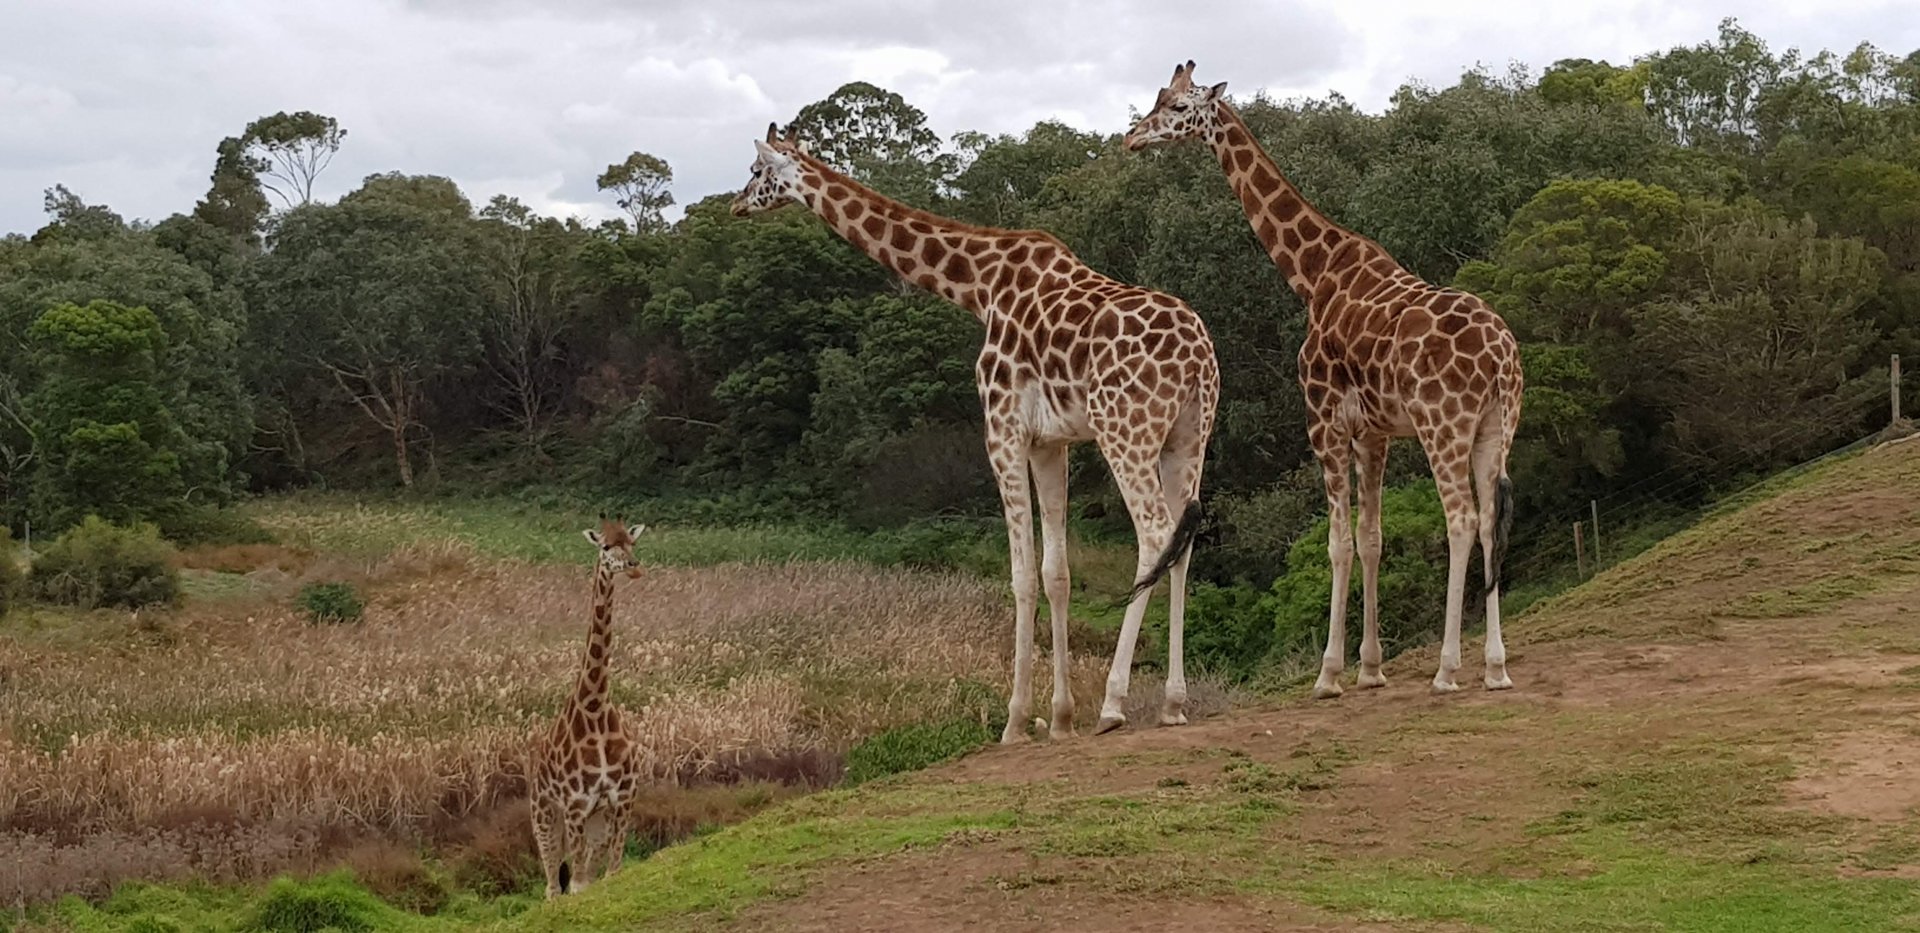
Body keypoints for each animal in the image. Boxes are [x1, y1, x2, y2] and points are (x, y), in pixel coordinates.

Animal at [529, 517, 648, 898]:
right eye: (605, 546)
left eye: (631, 542)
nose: (634, 567)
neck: (595, 707)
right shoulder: (575, 805)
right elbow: (577, 885)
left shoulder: (622, 797)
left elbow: (610, 872)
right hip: (544, 812)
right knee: (552, 886)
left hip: (594, 817)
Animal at [732, 123, 1219, 740]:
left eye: (755, 171)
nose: (734, 205)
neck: (978, 286)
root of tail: (1199, 355)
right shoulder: (1051, 441)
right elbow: (1057, 572)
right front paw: (1060, 719)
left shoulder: (1002, 429)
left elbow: (1021, 575)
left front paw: (1016, 720)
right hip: (1189, 435)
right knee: (1183, 539)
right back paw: (1174, 703)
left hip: (1125, 429)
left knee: (1155, 534)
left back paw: (1114, 703)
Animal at [1123, 61, 1523, 697]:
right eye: (1158, 98)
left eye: (1179, 108)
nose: (1132, 137)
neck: (1312, 276)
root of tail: (1502, 358)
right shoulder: (1375, 432)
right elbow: (1372, 538)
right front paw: (1371, 668)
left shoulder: (1323, 420)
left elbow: (1337, 542)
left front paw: (1330, 674)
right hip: (1496, 428)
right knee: (1490, 519)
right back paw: (1496, 667)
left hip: (1444, 425)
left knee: (1461, 519)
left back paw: (1447, 669)